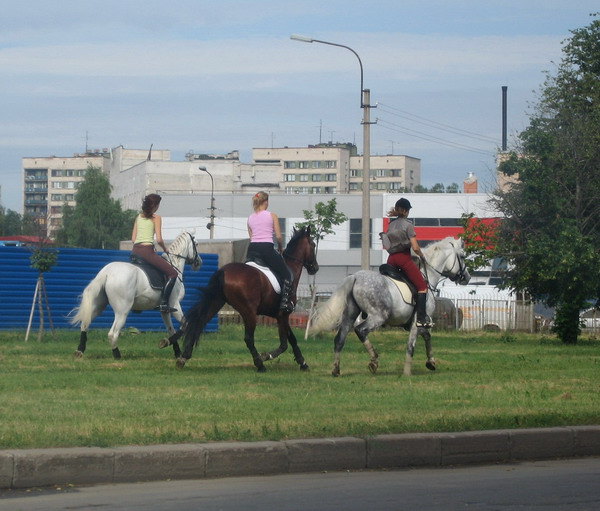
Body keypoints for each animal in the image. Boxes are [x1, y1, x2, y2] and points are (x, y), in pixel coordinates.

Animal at [70, 232, 202, 360]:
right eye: (196, 244)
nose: (199, 263)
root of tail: (107, 272)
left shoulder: (164, 311)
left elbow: (171, 330)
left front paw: (176, 352)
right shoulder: (175, 304)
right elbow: (185, 325)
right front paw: (167, 344)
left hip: (98, 306)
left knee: (85, 324)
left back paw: (79, 351)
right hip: (122, 311)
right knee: (112, 333)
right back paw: (117, 356)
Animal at [173, 228, 318, 372]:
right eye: (313, 245)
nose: (315, 268)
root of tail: (223, 271)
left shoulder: (280, 316)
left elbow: (291, 339)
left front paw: (302, 363)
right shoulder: (283, 315)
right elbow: (285, 343)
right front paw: (267, 356)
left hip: (216, 303)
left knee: (199, 323)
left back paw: (183, 358)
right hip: (249, 312)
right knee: (248, 338)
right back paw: (260, 364)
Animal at [312, 238, 472, 378]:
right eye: (463, 256)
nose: (467, 277)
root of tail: (355, 277)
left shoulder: (420, 323)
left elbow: (427, 336)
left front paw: (431, 362)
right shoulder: (418, 322)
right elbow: (411, 346)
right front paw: (407, 372)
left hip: (350, 315)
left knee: (340, 339)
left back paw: (336, 370)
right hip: (378, 317)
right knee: (360, 330)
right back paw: (374, 361)